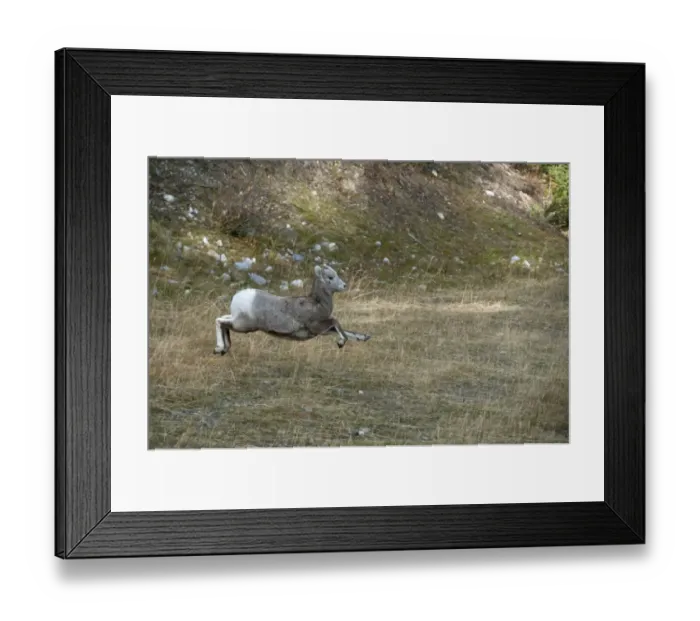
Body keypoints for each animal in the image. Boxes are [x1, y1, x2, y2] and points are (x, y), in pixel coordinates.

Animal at [213, 264, 371, 355]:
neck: (317, 303)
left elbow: (346, 331)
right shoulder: (317, 327)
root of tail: (238, 297)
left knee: (222, 321)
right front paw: (340, 343)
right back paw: (220, 348)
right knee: (220, 321)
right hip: (244, 325)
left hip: (237, 320)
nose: (344, 285)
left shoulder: (323, 330)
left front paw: (364, 337)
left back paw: (222, 349)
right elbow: (336, 322)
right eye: (331, 277)